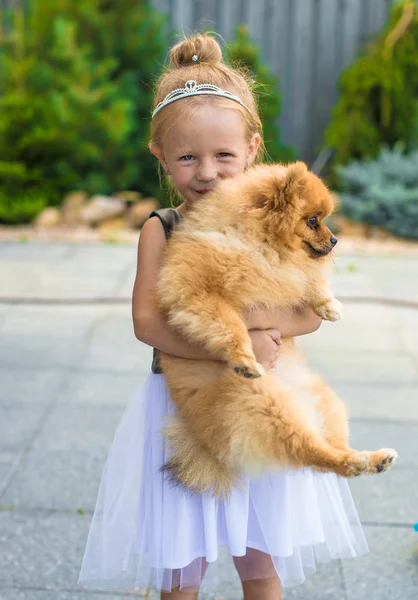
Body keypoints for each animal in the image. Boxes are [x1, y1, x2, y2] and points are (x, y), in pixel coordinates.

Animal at [156, 159, 396, 496]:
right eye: (313, 221)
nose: (335, 240)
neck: (259, 242)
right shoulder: (198, 293)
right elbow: (231, 325)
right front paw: (244, 359)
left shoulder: (288, 270)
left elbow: (307, 278)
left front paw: (329, 303)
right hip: (265, 405)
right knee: (310, 450)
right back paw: (356, 462)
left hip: (325, 401)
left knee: (328, 446)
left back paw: (372, 459)